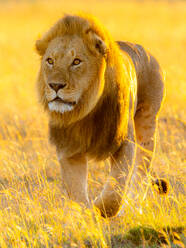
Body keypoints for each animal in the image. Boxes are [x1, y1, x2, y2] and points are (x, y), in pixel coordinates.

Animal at [35, 14, 167, 218]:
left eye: (76, 61)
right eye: (50, 61)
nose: (55, 85)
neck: (87, 110)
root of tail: (144, 50)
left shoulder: (124, 142)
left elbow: (116, 185)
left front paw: (101, 208)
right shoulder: (69, 150)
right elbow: (77, 190)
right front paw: (84, 216)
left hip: (147, 123)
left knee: (141, 170)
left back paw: (131, 208)